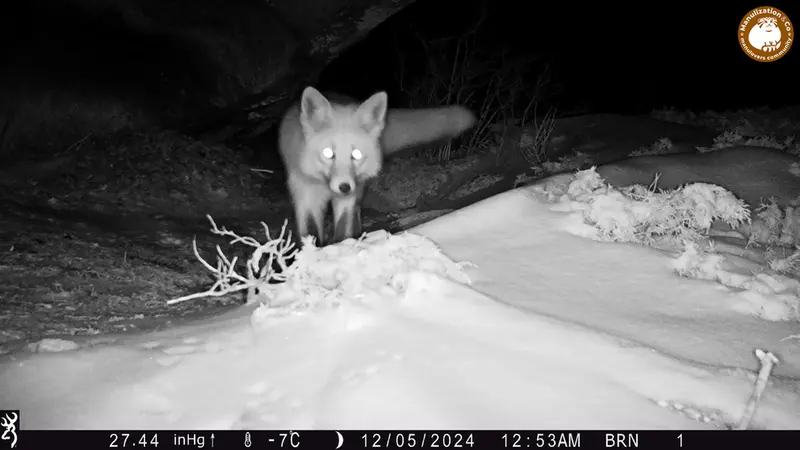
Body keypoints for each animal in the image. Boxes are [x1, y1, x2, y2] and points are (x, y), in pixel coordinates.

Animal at [278, 86, 476, 247]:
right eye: (328, 153)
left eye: (356, 154)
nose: (344, 187)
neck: (325, 186)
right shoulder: (306, 196)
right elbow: (310, 234)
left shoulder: (347, 199)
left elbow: (343, 229)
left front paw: (342, 248)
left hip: (359, 189)